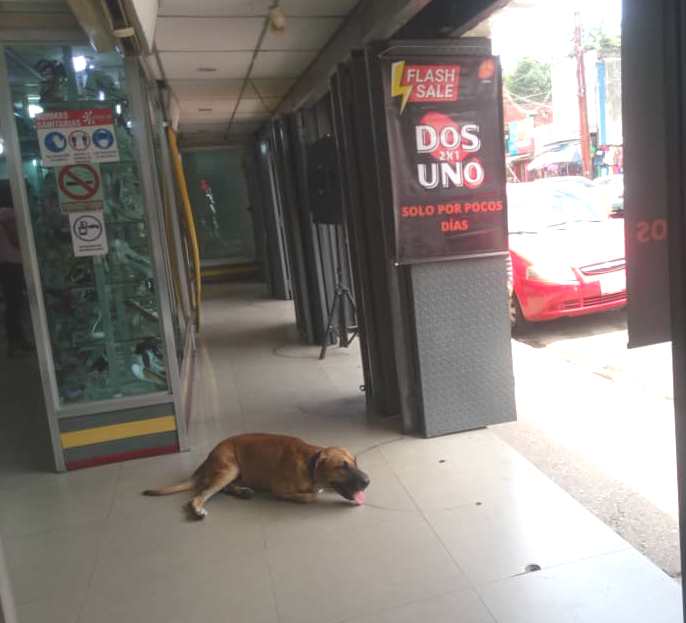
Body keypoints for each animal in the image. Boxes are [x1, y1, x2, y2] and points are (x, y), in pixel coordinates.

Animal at [144, 432, 370, 520]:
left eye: (355, 462)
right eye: (342, 466)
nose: (368, 481)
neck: (310, 461)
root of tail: (209, 456)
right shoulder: (279, 490)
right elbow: (311, 496)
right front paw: (313, 493)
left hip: (231, 473)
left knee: (223, 488)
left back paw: (242, 491)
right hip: (230, 469)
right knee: (199, 495)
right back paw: (198, 509)